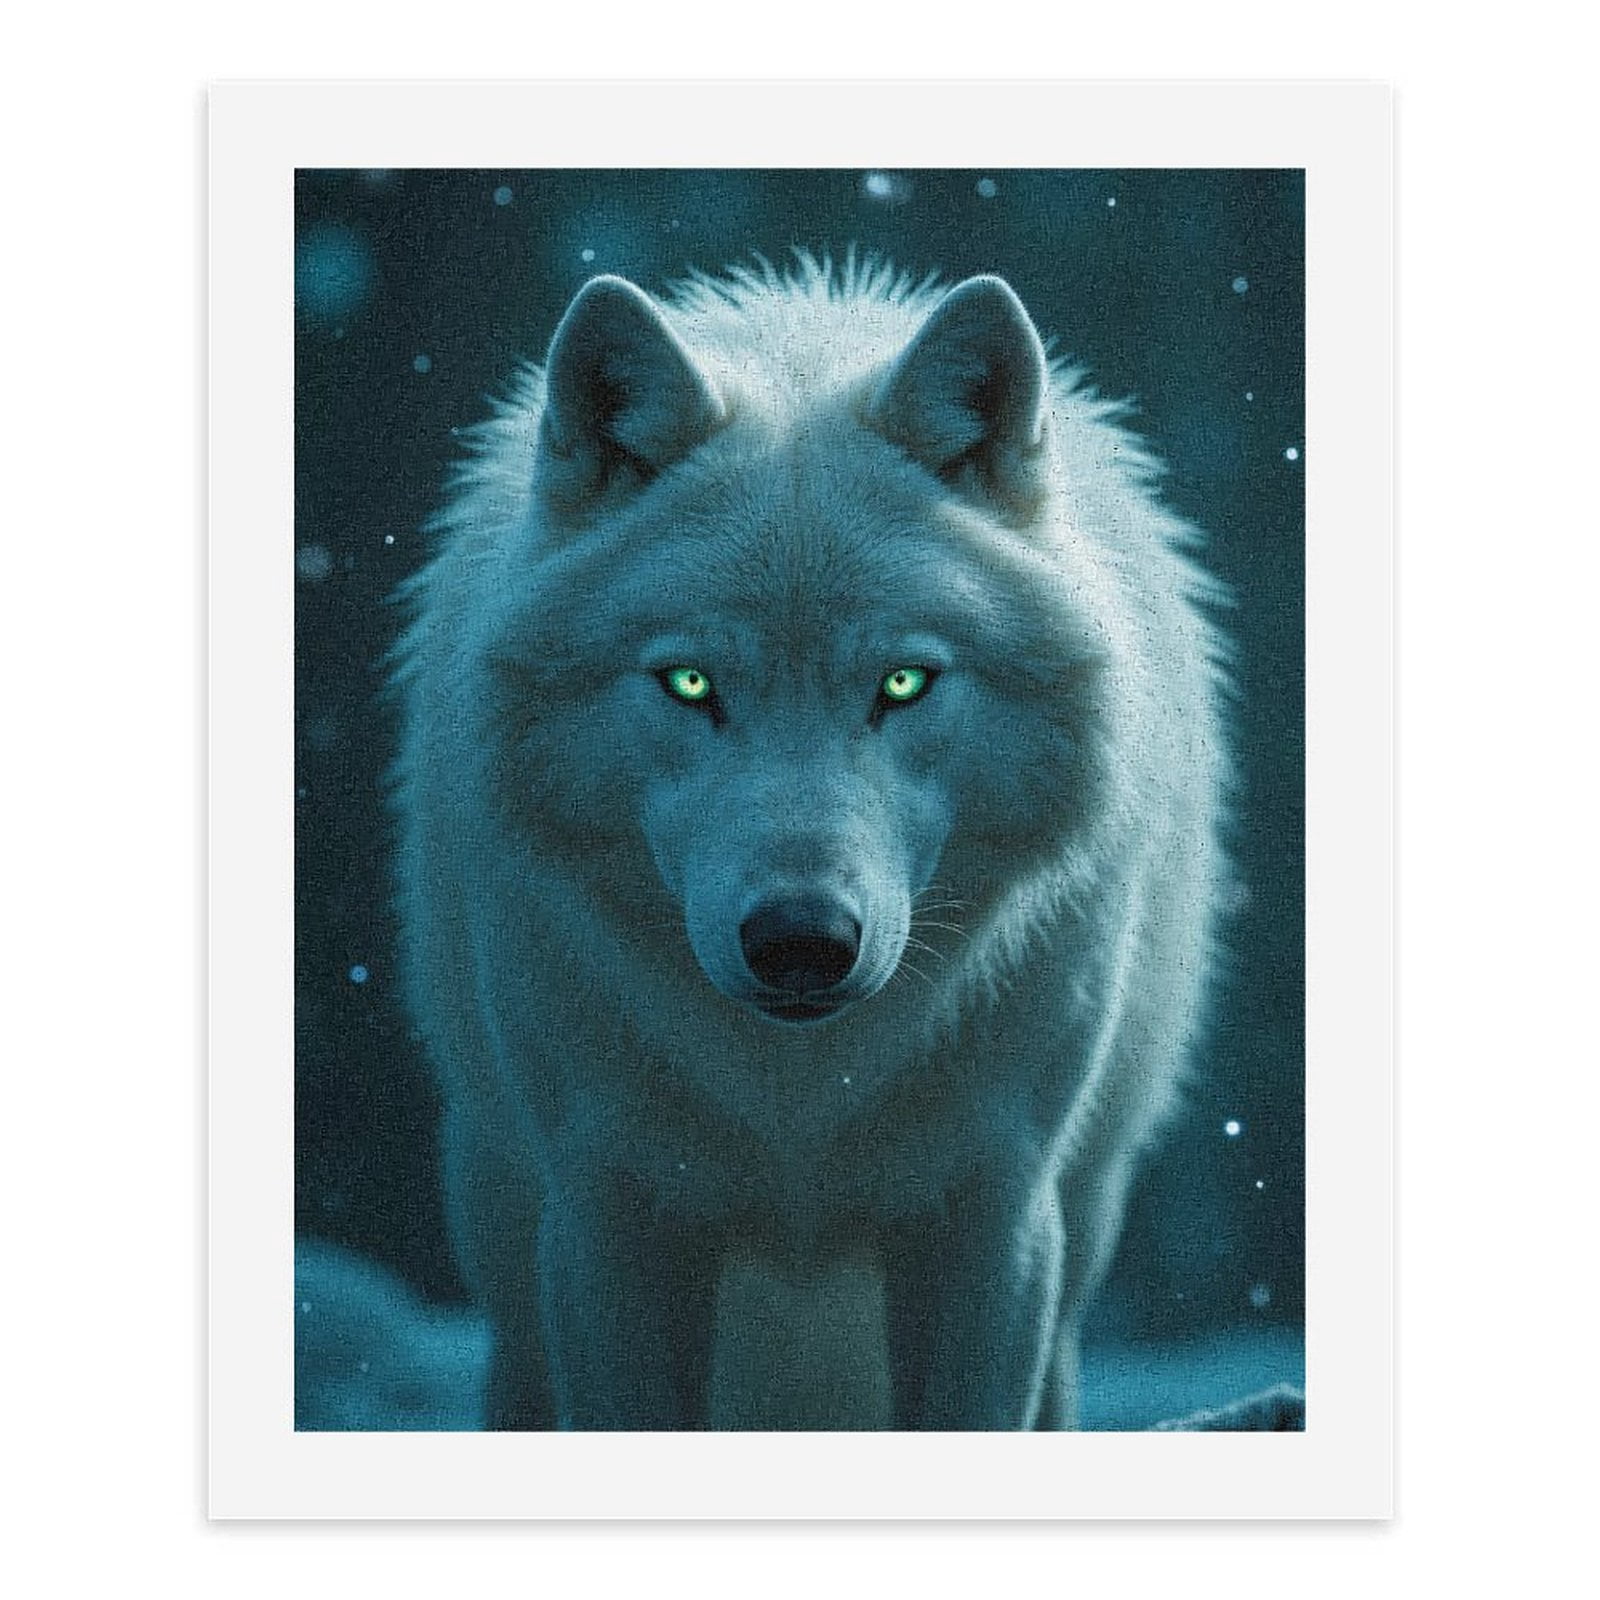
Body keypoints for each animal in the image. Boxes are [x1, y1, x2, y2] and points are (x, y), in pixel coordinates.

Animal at [389, 256, 1230, 1430]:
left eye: (904, 682)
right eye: (690, 682)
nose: (800, 942)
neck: (798, 1104)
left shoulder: (992, 1212)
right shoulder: (610, 1215)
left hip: (1085, 1220)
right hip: (503, 1225)